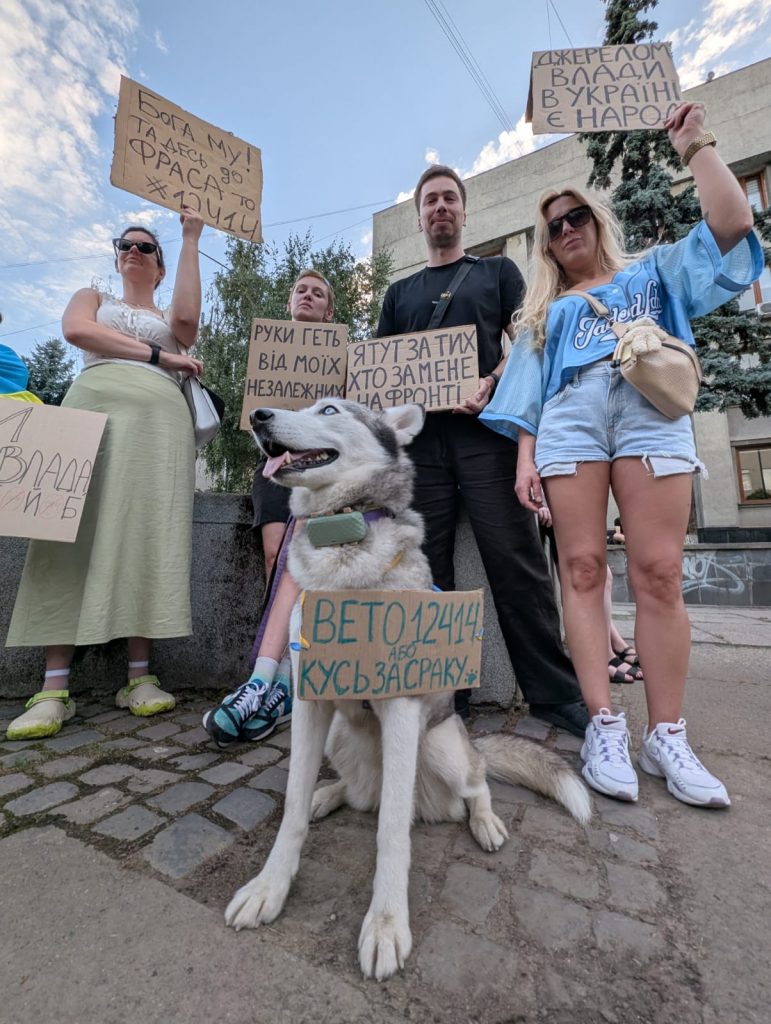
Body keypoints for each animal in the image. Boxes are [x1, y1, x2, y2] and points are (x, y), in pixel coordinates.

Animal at [225, 399, 591, 980]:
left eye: (329, 408)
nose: (259, 415)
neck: (342, 541)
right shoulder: (311, 703)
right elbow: (290, 810)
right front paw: (269, 887)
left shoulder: (399, 705)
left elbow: (392, 831)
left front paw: (386, 924)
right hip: (339, 736)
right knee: (356, 794)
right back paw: (328, 795)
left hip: (441, 747)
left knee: (474, 784)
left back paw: (485, 822)